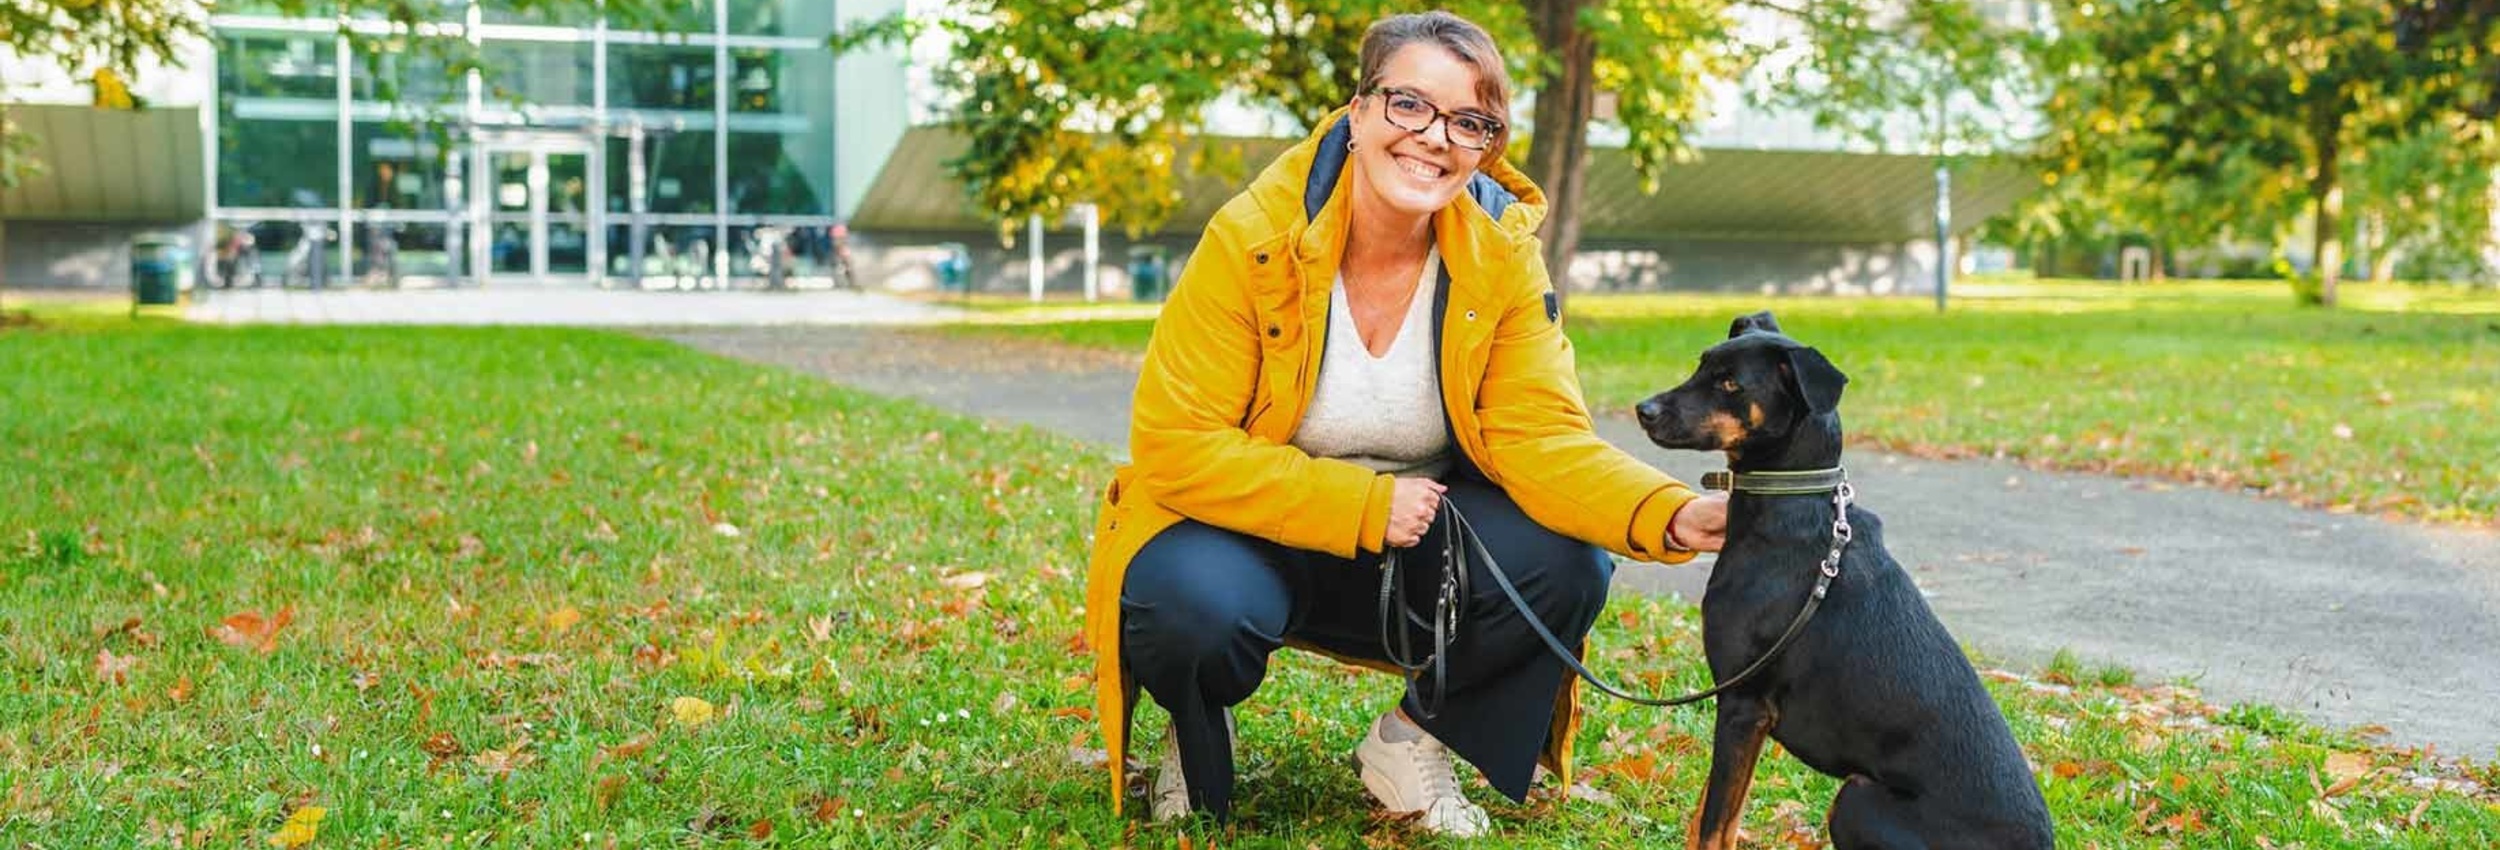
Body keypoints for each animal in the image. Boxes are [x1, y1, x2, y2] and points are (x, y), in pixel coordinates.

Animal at [1640, 313, 2050, 850]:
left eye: (1730, 384)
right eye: (1700, 366)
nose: (1643, 410)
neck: (1789, 506)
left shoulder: (1743, 705)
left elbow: (1714, 830)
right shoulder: (1740, 711)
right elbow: (1709, 818)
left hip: (1855, 797)